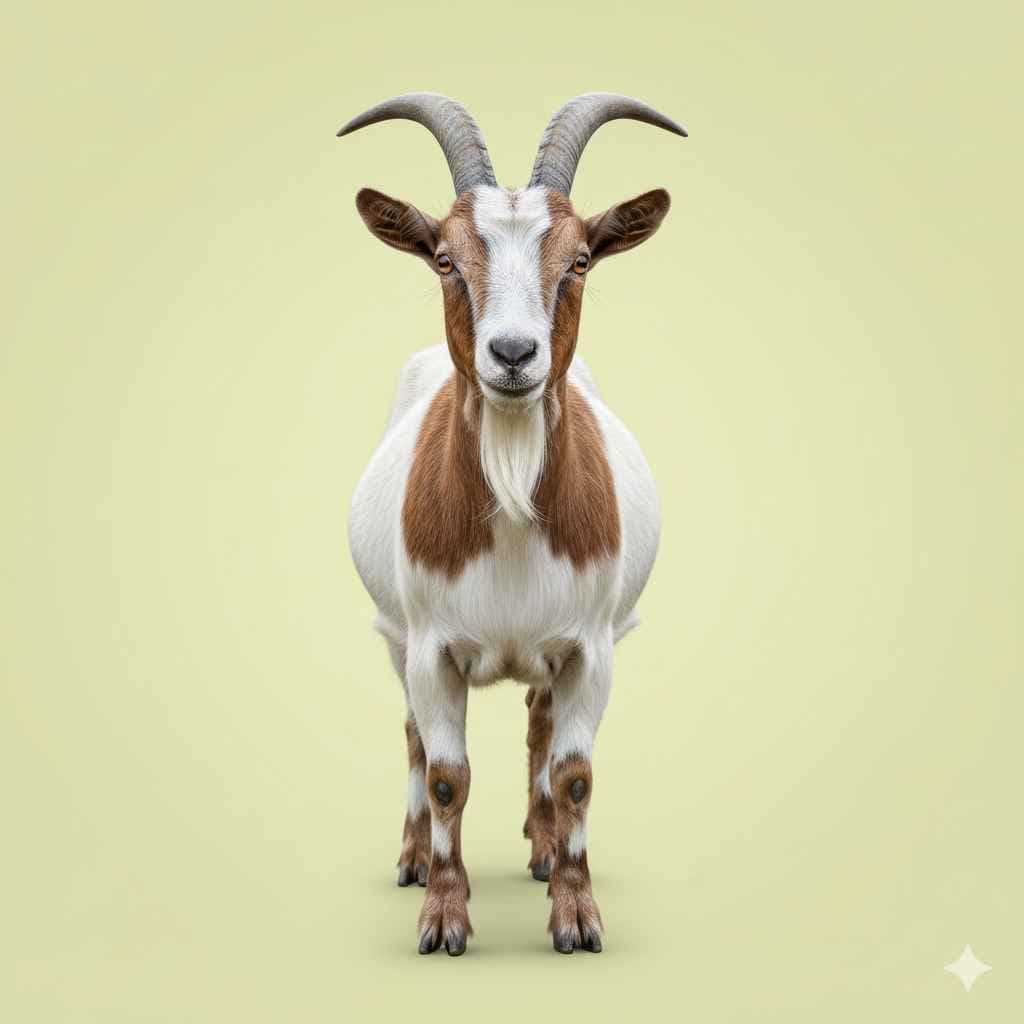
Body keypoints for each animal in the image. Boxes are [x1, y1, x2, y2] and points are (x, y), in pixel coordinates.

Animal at [340, 92, 685, 955]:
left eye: (581, 260)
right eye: (444, 259)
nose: (514, 354)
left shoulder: (591, 647)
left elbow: (574, 773)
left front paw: (576, 916)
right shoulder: (430, 647)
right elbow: (444, 775)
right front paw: (443, 919)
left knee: (537, 725)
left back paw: (541, 847)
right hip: (395, 635)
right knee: (413, 735)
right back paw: (413, 860)